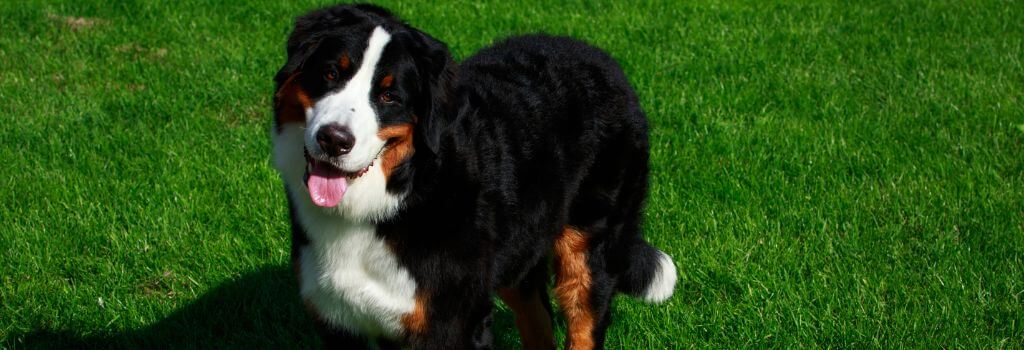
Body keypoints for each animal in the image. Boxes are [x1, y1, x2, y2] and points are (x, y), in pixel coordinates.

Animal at [268, 3, 675, 350]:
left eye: (388, 96)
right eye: (330, 73)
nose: (334, 139)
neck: (399, 196)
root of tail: (601, 57)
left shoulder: (452, 323)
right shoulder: (339, 318)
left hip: (588, 250)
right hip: (519, 251)